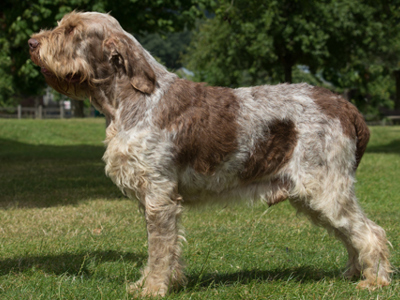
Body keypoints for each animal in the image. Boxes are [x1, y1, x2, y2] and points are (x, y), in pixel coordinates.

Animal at [29, 11, 392, 296]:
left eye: (72, 29)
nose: (32, 43)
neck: (130, 101)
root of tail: (345, 105)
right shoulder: (156, 199)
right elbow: (165, 248)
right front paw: (160, 283)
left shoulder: (159, 195)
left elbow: (158, 249)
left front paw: (153, 289)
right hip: (312, 196)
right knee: (351, 236)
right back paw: (353, 274)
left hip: (326, 189)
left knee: (371, 232)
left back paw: (375, 281)